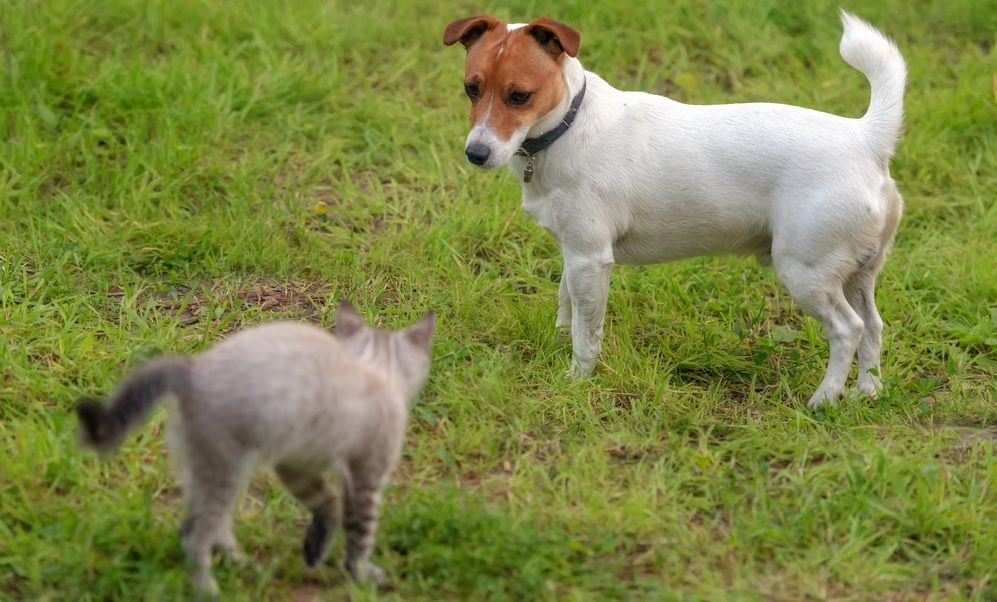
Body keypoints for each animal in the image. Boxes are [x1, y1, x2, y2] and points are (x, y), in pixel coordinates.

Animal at [76, 300, 434, 596]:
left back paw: (240, 563)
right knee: (194, 534)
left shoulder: (296, 466)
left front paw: (314, 550)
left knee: (212, 524)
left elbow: (327, 503)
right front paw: (362, 574)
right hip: (225, 469)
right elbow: (360, 533)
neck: (373, 369)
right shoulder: (365, 478)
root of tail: (192, 369)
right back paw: (209, 590)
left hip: (215, 468)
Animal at [448, 10, 908, 408]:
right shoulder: (575, 253)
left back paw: (824, 399)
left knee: (848, 330)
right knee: (873, 326)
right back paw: (867, 391)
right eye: (471, 88)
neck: (570, 124)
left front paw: (576, 379)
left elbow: (587, 331)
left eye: (520, 96)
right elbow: (568, 305)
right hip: (857, 271)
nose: (476, 153)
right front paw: (557, 343)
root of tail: (865, 138)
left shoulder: (590, 259)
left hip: (806, 272)